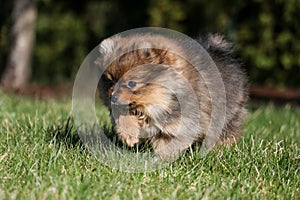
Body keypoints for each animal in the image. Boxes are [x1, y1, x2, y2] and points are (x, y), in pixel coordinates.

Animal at [96, 33, 248, 160]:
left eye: (132, 83)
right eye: (110, 81)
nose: (112, 97)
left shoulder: (179, 125)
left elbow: (167, 144)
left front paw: (160, 161)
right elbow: (123, 117)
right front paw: (129, 135)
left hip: (229, 115)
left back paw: (220, 150)